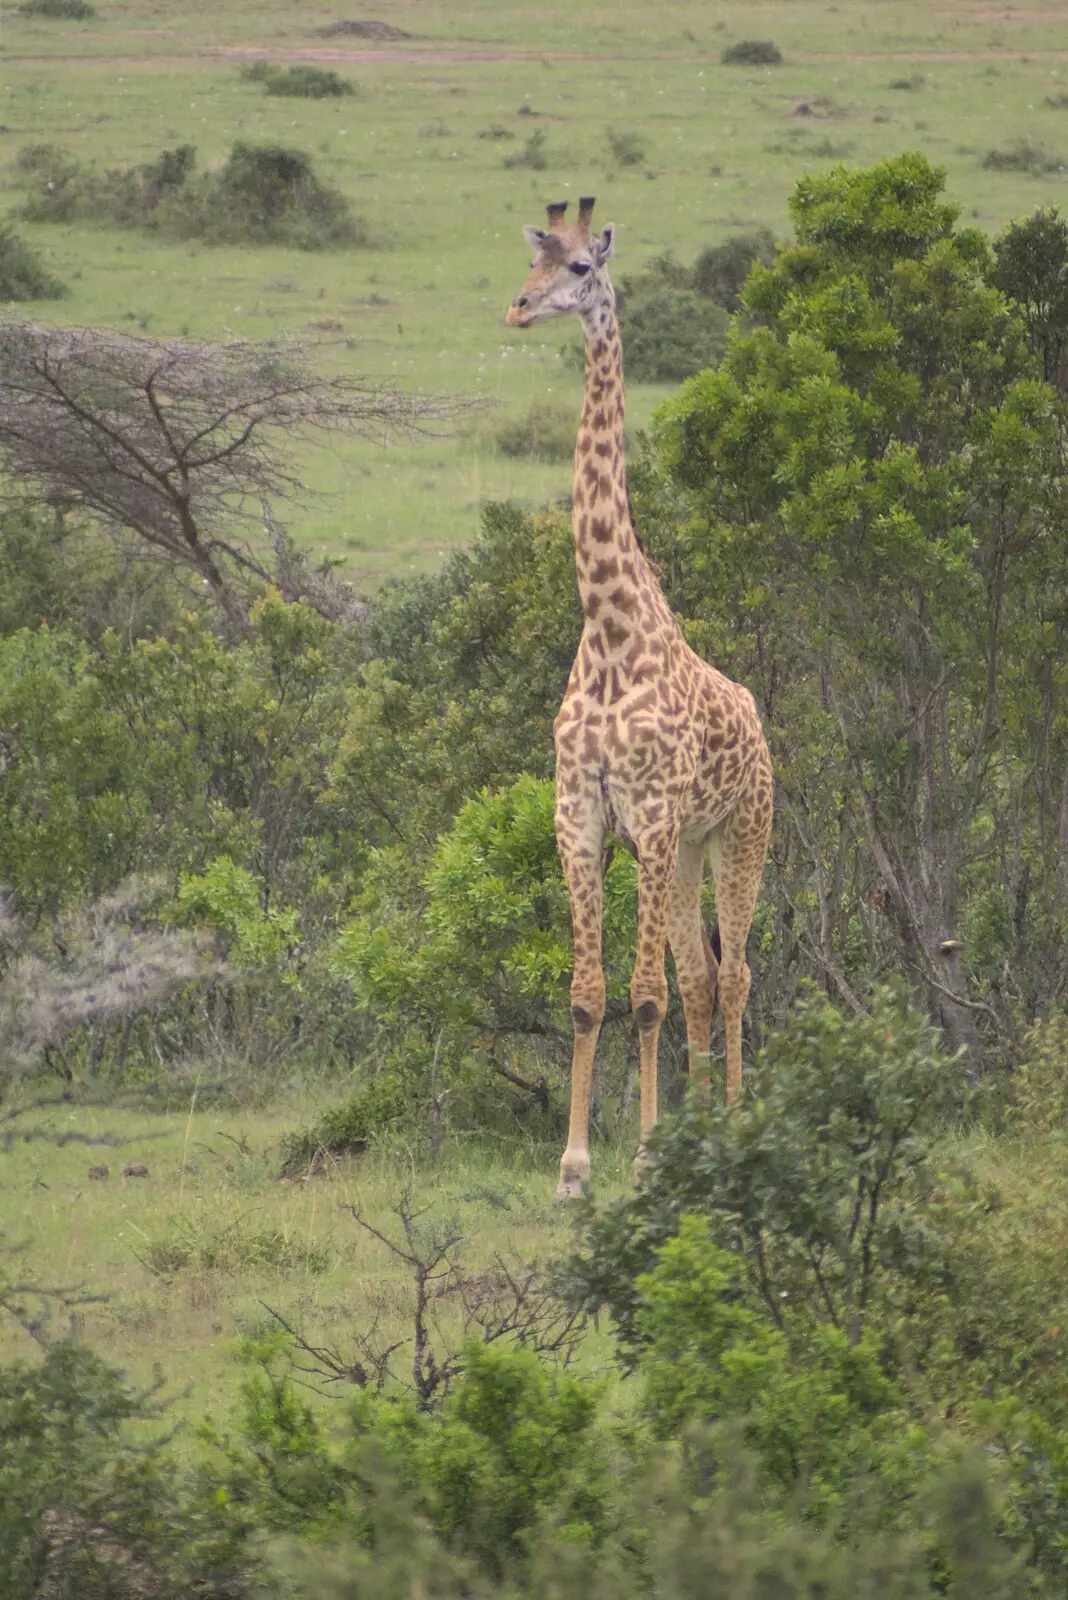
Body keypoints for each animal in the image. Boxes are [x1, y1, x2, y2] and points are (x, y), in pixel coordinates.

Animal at [505, 196, 770, 1203]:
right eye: (532, 260)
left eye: (581, 267)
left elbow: (645, 997)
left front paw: (650, 1156)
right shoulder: (580, 816)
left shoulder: (650, 818)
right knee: (702, 979)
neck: (611, 630)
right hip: (692, 849)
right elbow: (589, 997)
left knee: (731, 978)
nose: (518, 309)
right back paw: (707, 1131)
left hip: (739, 835)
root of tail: (764, 728)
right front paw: (575, 1169)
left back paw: (733, 1129)